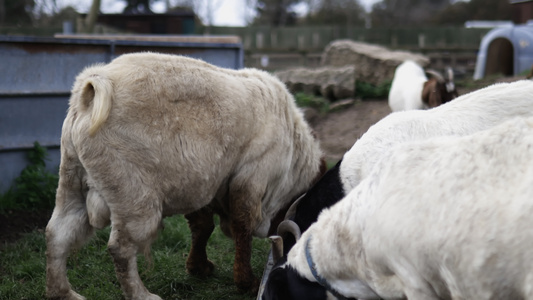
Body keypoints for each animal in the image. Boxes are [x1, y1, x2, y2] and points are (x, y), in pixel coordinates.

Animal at [44, 52, 324, 300]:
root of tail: (93, 84)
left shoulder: (203, 185)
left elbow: (202, 227)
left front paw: (198, 267)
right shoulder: (251, 179)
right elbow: (241, 228)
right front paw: (246, 283)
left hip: (72, 180)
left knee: (57, 234)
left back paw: (64, 293)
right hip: (135, 198)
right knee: (120, 249)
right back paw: (141, 295)